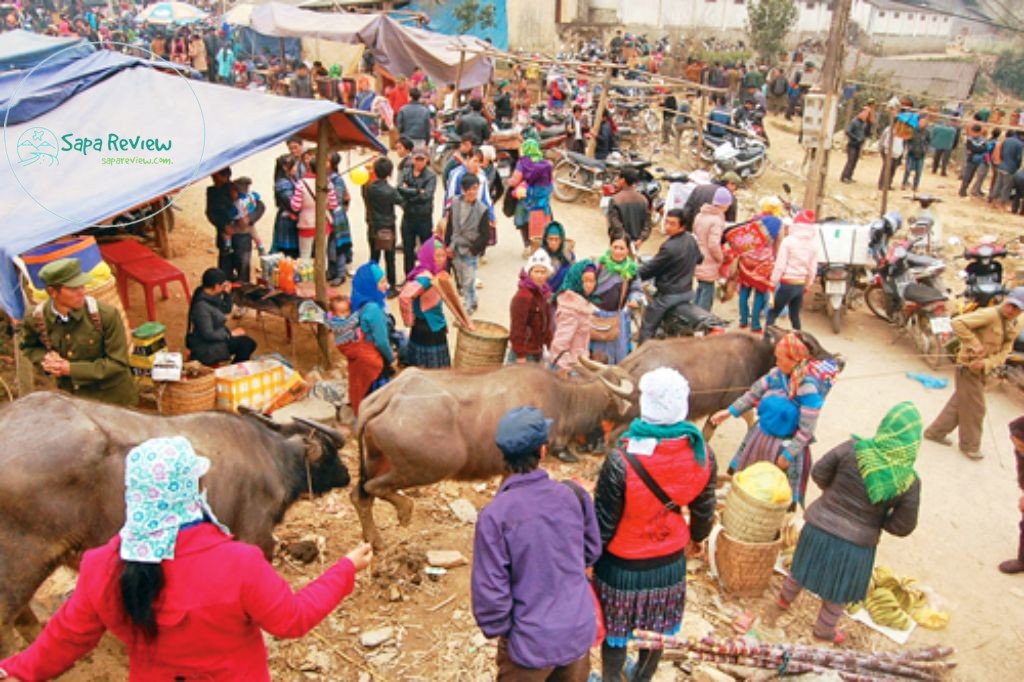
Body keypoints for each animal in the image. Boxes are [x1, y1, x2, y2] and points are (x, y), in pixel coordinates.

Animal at [356, 360, 634, 548]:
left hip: (376, 459)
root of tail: (387, 397)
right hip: (435, 463)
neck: (563, 400)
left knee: (360, 496)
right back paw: (404, 511)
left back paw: (374, 540)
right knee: (373, 488)